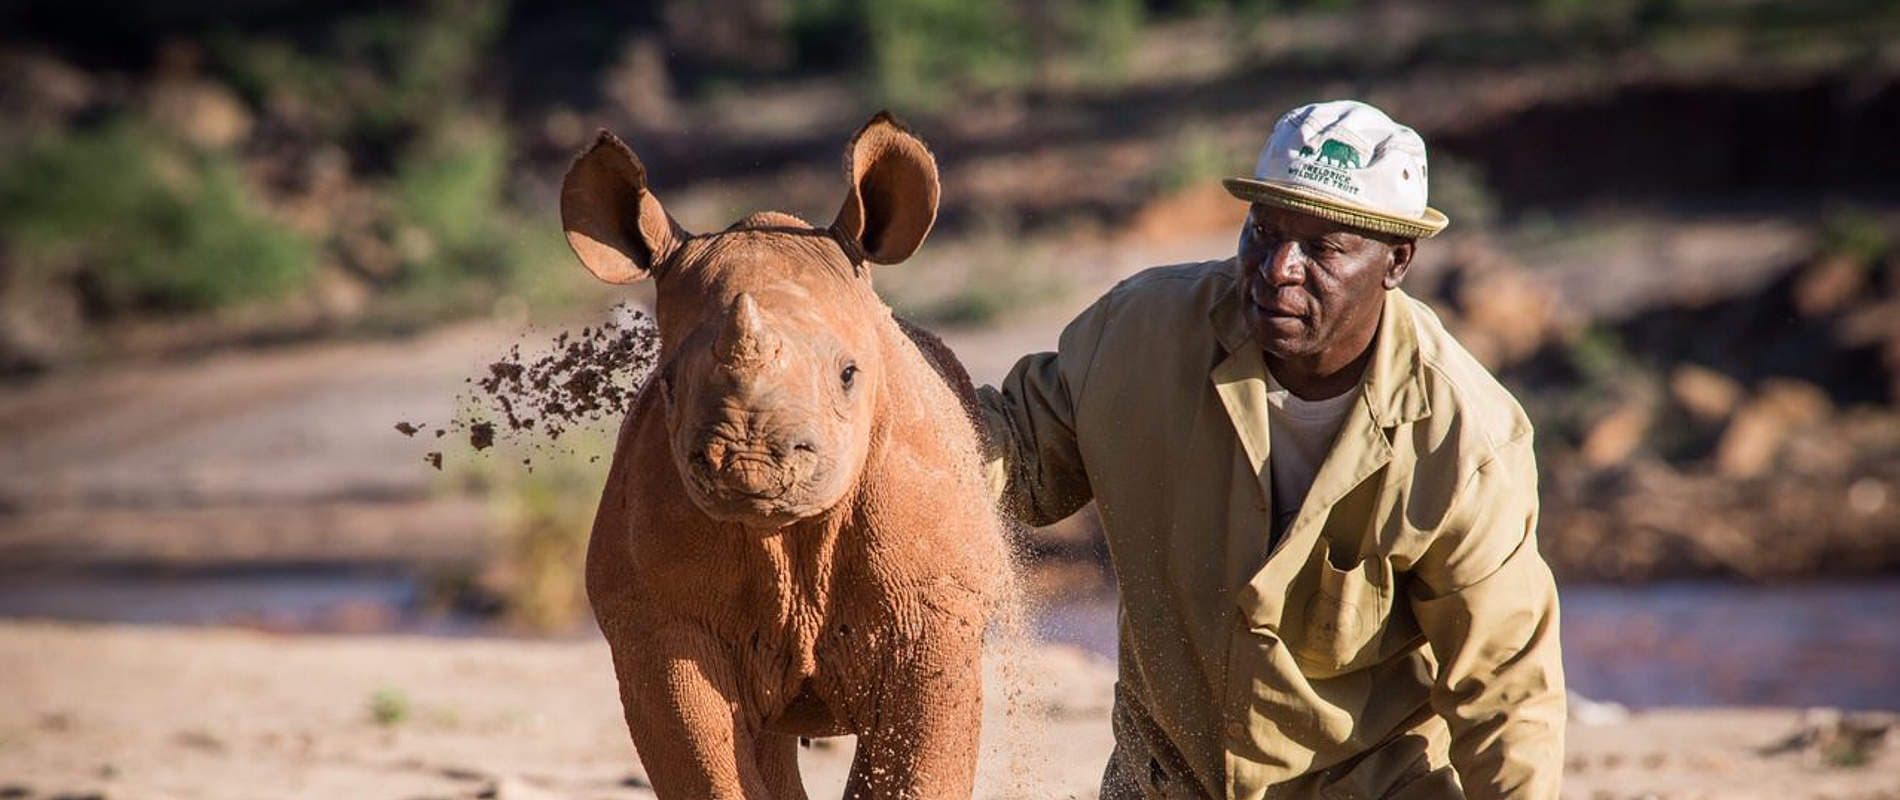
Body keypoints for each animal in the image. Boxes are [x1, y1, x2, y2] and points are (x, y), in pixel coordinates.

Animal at [563, 112, 1010, 798]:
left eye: (849, 374)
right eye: (667, 383)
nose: (749, 462)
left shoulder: (936, 612)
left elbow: (917, 767)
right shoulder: (658, 624)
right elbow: (709, 767)